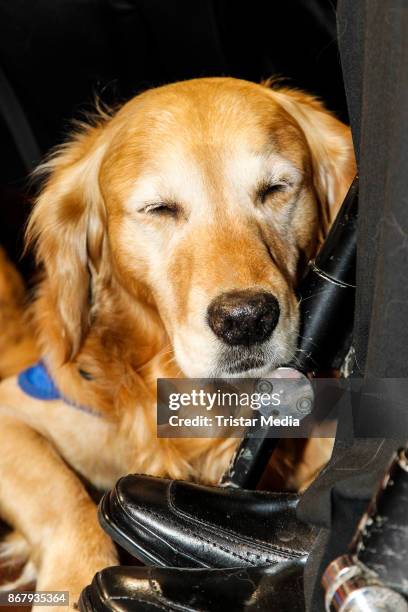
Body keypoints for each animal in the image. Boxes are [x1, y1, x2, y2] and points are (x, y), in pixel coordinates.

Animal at [0, 77, 354, 608]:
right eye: (160, 209)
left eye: (276, 189)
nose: (246, 320)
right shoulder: (17, 409)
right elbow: (62, 496)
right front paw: (72, 574)